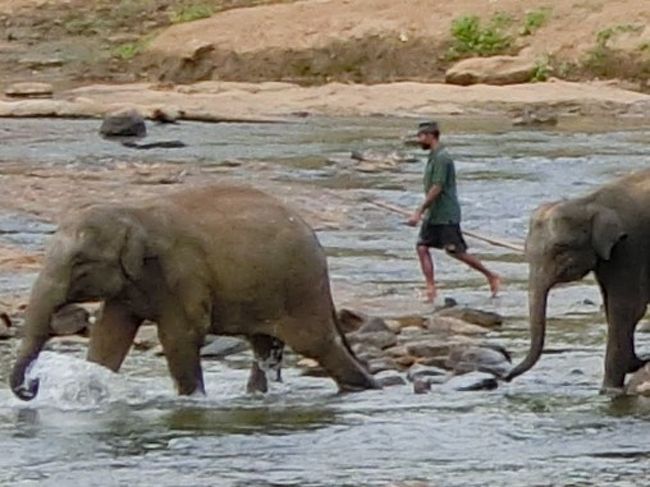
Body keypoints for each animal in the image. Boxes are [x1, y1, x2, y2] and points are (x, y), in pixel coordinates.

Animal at [10, 185, 378, 402]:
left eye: (80, 263)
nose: (33, 385)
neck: (134, 211)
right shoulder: (128, 286)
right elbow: (109, 337)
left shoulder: (183, 273)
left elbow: (179, 336)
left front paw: (191, 403)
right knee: (264, 345)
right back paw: (257, 396)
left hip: (300, 287)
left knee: (315, 344)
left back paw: (365, 389)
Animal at [504, 170, 648, 394]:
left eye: (560, 250)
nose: (506, 376)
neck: (589, 201)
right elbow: (614, 305)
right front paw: (633, 364)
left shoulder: (630, 247)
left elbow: (626, 306)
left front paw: (608, 390)